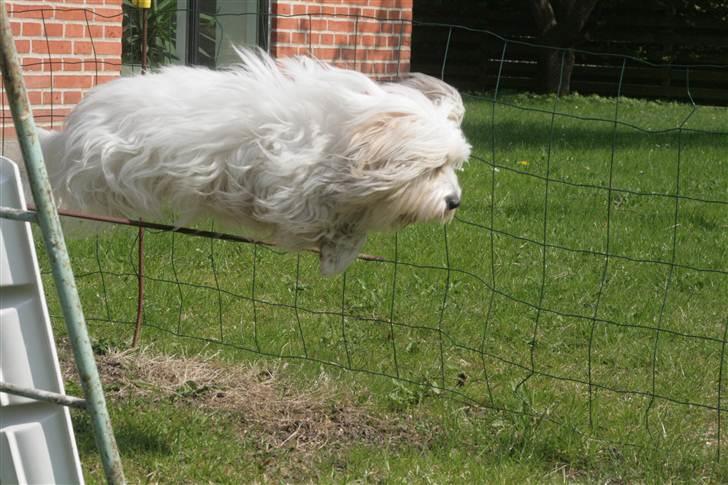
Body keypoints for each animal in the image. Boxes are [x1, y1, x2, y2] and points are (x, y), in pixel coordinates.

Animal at [41, 51, 472, 276]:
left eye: (453, 165)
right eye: (433, 168)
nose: (454, 202)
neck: (345, 135)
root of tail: (68, 134)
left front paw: (340, 249)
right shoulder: (288, 186)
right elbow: (316, 217)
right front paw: (337, 247)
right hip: (101, 176)